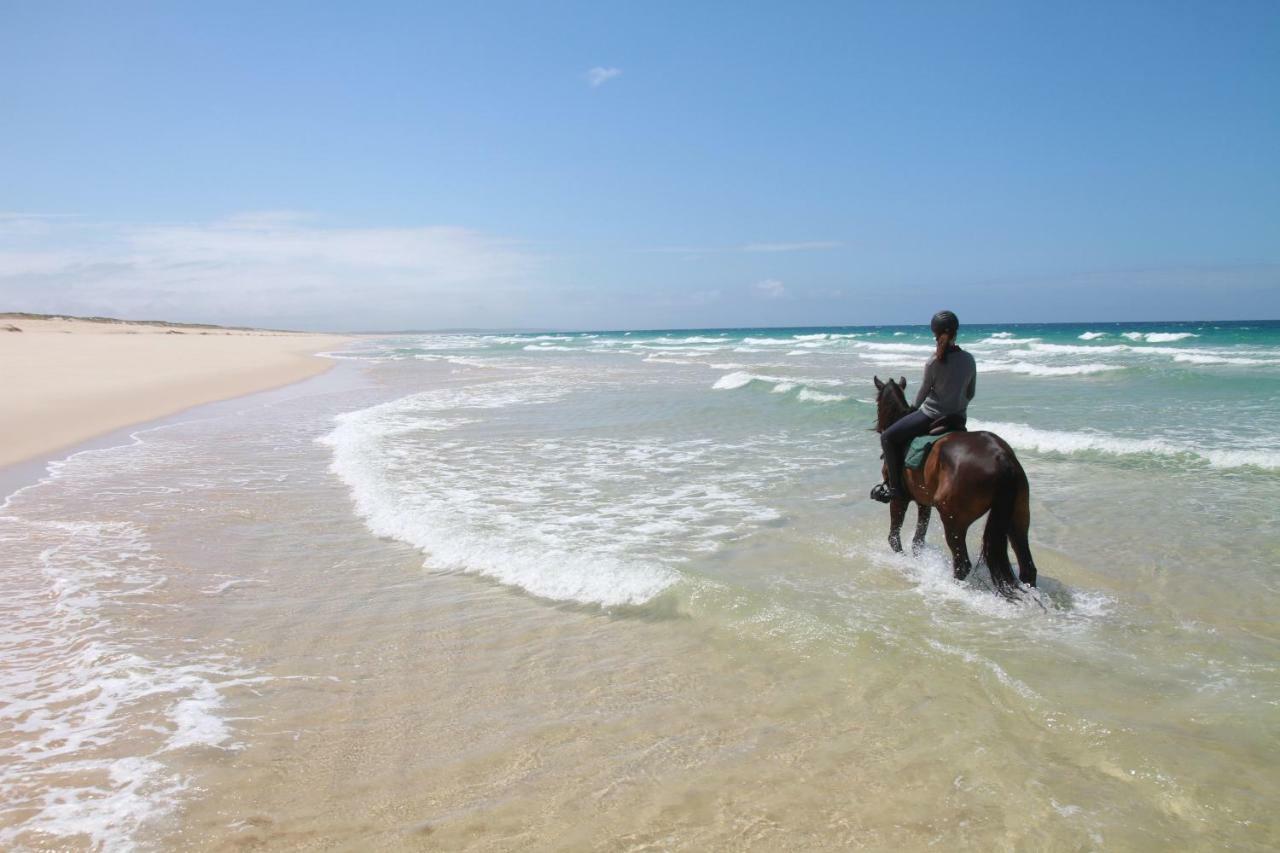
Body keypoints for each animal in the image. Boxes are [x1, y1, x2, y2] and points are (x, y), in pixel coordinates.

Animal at [870, 376, 1039, 594]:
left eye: (877, 402)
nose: (877, 427)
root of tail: (1002, 458)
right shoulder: (924, 502)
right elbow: (918, 540)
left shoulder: (900, 498)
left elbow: (894, 538)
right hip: (1018, 517)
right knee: (1027, 567)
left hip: (954, 521)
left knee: (962, 564)